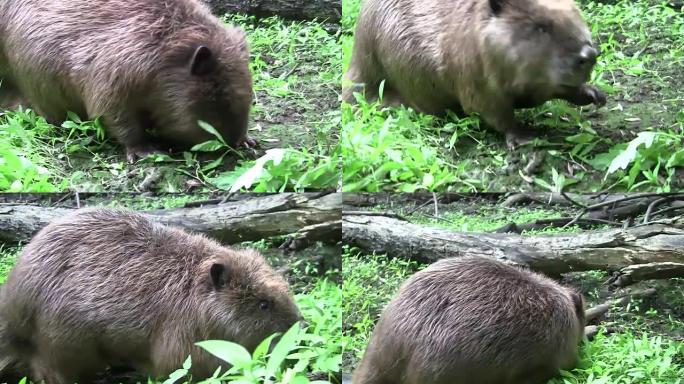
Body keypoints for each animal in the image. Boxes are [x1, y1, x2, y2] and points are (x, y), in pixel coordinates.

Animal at [0, 0, 255, 162]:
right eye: (217, 95)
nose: (231, 142)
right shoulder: (116, 70)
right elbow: (113, 113)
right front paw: (146, 151)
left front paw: (248, 141)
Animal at [0, 208, 302, 382]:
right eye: (264, 304)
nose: (298, 325)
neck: (190, 285)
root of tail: (12, 311)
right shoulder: (185, 334)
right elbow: (181, 367)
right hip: (62, 341)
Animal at [344, 0, 608, 148]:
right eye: (541, 27)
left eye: (576, 14)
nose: (589, 54)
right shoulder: (474, 72)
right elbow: (491, 109)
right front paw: (524, 136)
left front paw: (594, 94)